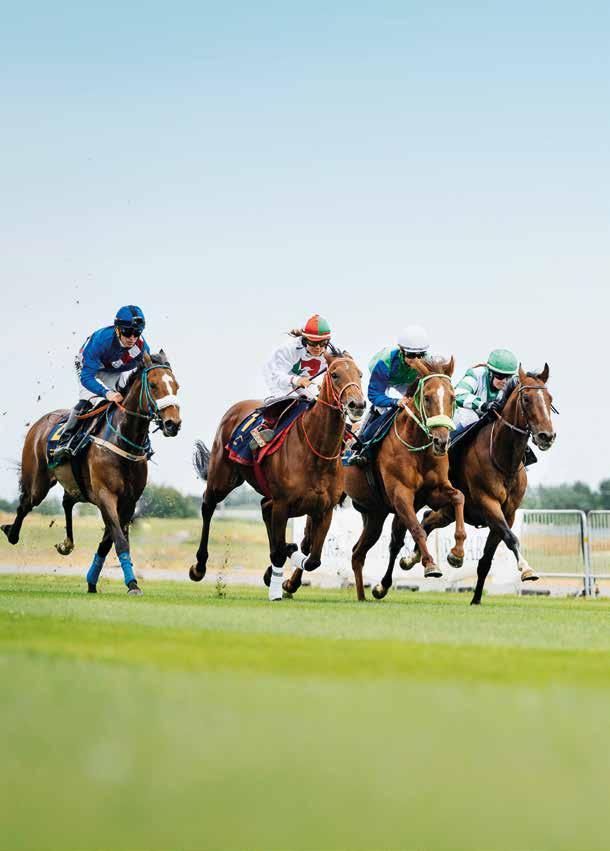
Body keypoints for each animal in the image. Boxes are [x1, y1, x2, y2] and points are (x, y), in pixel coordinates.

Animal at [1, 350, 180, 596]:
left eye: (176, 386)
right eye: (153, 385)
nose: (173, 424)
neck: (124, 440)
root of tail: (39, 423)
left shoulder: (129, 501)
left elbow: (109, 541)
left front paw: (93, 581)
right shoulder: (106, 495)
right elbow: (119, 539)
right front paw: (132, 584)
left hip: (77, 486)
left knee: (66, 502)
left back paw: (66, 544)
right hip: (38, 481)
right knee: (25, 503)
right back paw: (11, 532)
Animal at [188, 350, 364, 604]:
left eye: (359, 374)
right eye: (335, 374)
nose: (357, 404)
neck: (316, 452)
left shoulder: (324, 509)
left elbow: (313, 559)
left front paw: (282, 573)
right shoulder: (283, 503)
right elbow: (283, 549)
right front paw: (277, 585)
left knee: (264, 508)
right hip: (222, 478)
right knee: (208, 506)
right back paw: (199, 566)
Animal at [342, 356, 466, 604]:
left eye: (453, 398)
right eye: (427, 397)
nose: (441, 441)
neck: (418, 447)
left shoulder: (434, 491)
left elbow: (459, 497)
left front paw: (457, 553)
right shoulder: (401, 494)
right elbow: (417, 529)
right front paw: (430, 565)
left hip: (374, 514)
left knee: (359, 553)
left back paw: (365, 594)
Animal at [396, 366, 552, 604]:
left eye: (550, 398)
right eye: (526, 398)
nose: (547, 436)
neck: (502, 459)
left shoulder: (508, 513)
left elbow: (486, 560)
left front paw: (476, 599)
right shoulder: (488, 503)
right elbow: (511, 538)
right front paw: (526, 569)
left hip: (448, 511)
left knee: (428, 519)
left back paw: (415, 557)